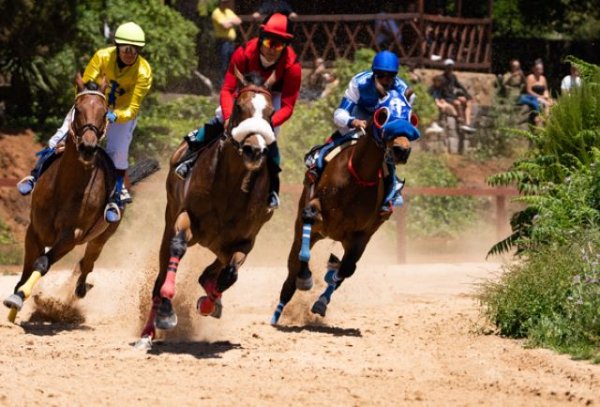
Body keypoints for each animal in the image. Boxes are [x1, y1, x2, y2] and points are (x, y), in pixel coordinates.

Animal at [3, 73, 119, 322]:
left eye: (105, 111)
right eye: (78, 108)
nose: (87, 147)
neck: (64, 189)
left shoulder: (70, 236)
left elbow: (42, 263)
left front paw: (20, 296)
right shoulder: (34, 229)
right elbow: (27, 266)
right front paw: (15, 299)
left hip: (102, 236)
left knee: (88, 263)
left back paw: (81, 288)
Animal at [137, 71, 276, 350]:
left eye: (271, 112)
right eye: (239, 107)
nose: (254, 150)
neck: (231, 189)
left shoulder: (246, 240)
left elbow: (229, 275)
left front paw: (209, 303)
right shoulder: (185, 218)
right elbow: (177, 249)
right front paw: (167, 313)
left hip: (219, 246)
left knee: (212, 273)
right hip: (172, 220)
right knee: (160, 277)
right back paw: (147, 333)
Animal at [270, 91, 418, 326]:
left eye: (411, 117)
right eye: (383, 115)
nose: (401, 150)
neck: (357, 178)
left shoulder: (361, 236)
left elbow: (346, 269)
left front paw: (321, 302)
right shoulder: (316, 211)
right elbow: (308, 222)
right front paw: (306, 277)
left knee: (343, 269)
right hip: (310, 228)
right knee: (292, 266)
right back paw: (279, 310)